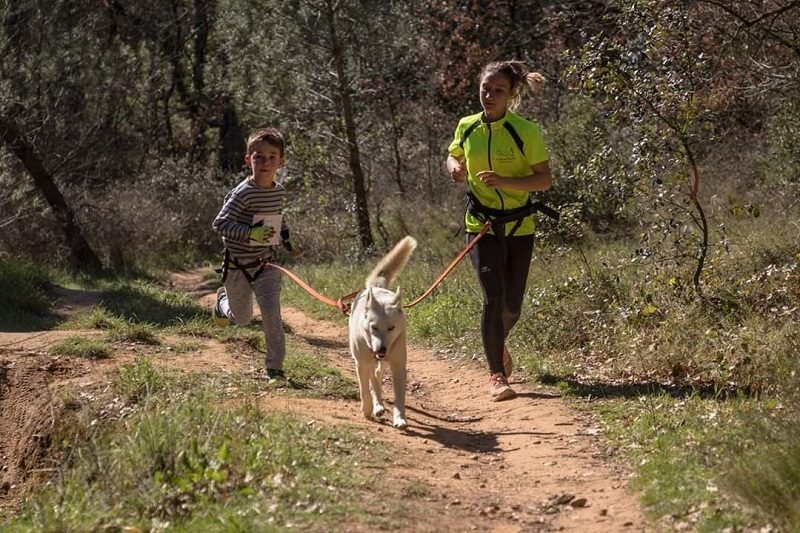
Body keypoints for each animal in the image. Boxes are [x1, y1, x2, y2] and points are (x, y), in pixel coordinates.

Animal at [350, 237, 418, 428]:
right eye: (374, 327)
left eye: (391, 328)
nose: (381, 350)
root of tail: (375, 288)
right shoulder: (361, 363)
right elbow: (364, 389)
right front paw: (367, 409)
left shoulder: (398, 366)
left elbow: (399, 397)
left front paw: (400, 418)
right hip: (368, 361)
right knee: (373, 379)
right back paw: (377, 406)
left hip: (386, 361)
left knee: (377, 375)